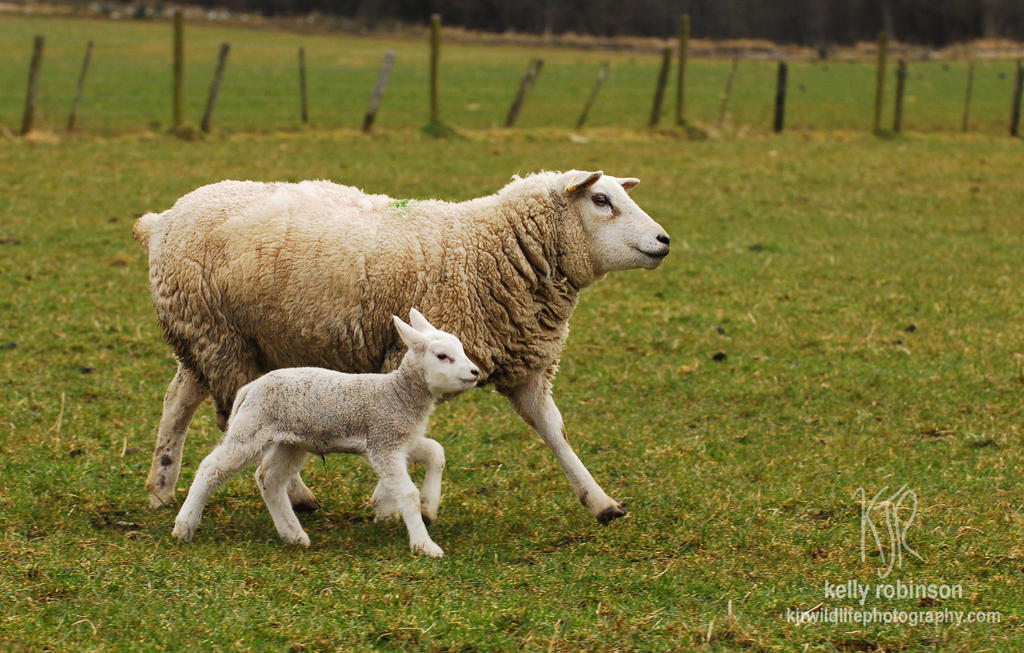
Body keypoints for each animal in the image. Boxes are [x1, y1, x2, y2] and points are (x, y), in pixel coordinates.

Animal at [136, 169, 671, 528]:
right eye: (601, 199)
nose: (664, 240)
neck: (487, 250)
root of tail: (160, 220)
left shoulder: (526, 370)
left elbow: (555, 433)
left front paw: (601, 501)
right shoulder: (408, 353)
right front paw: (389, 504)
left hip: (207, 338)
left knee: (177, 401)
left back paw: (161, 487)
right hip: (219, 338)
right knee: (230, 416)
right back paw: (296, 494)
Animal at [172, 311, 479, 556]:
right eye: (442, 356)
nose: (475, 372)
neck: (398, 394)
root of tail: (250, 388)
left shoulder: (401, 438)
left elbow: (436, 452)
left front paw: (429, 506)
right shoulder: (384, 442)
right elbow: (407, 493)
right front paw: (425, 545)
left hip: (291, 441)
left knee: (269, 478)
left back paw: (293, 535)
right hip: (252, 427)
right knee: (212, 467)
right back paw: (184, 526)